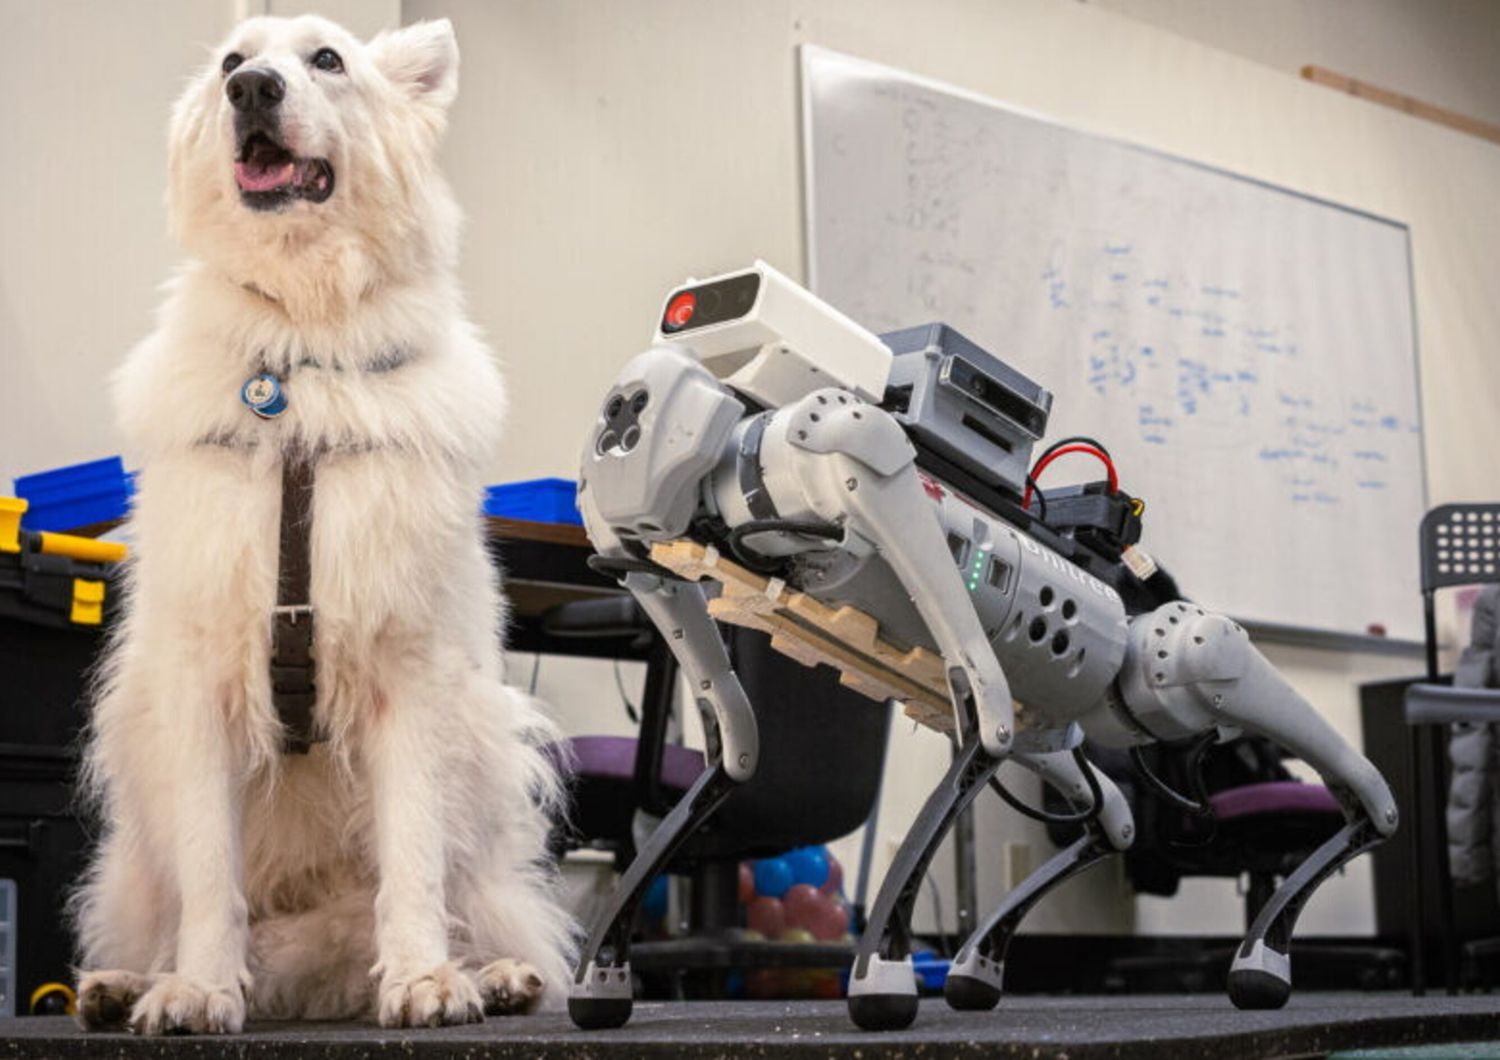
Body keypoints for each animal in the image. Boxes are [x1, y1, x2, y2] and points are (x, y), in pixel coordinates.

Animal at [70, 12, 573, 1031]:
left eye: (327, 60)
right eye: (233, 62)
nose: (252, 90)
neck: (300, 359)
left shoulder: (409, 669)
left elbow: (413, 859)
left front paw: (423, 979)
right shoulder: (198, 676)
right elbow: (209, 874)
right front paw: (200, 988)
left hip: (484, 756)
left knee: (475, 900)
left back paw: (494, 973)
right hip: (135, 809)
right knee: (169, 911)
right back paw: (126, 983)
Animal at [567, 260, 1398, 1031]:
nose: (620, 417)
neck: (747, 447)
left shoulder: (859, 456)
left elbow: (986, 720)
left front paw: (882, 976)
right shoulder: (649, 560)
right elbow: (734, 749)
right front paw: (600, 975)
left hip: (1143, 673)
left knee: (1211, 660)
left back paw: (1287, 928)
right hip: (1059, 727)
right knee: (1110, 814)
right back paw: (984, 963)